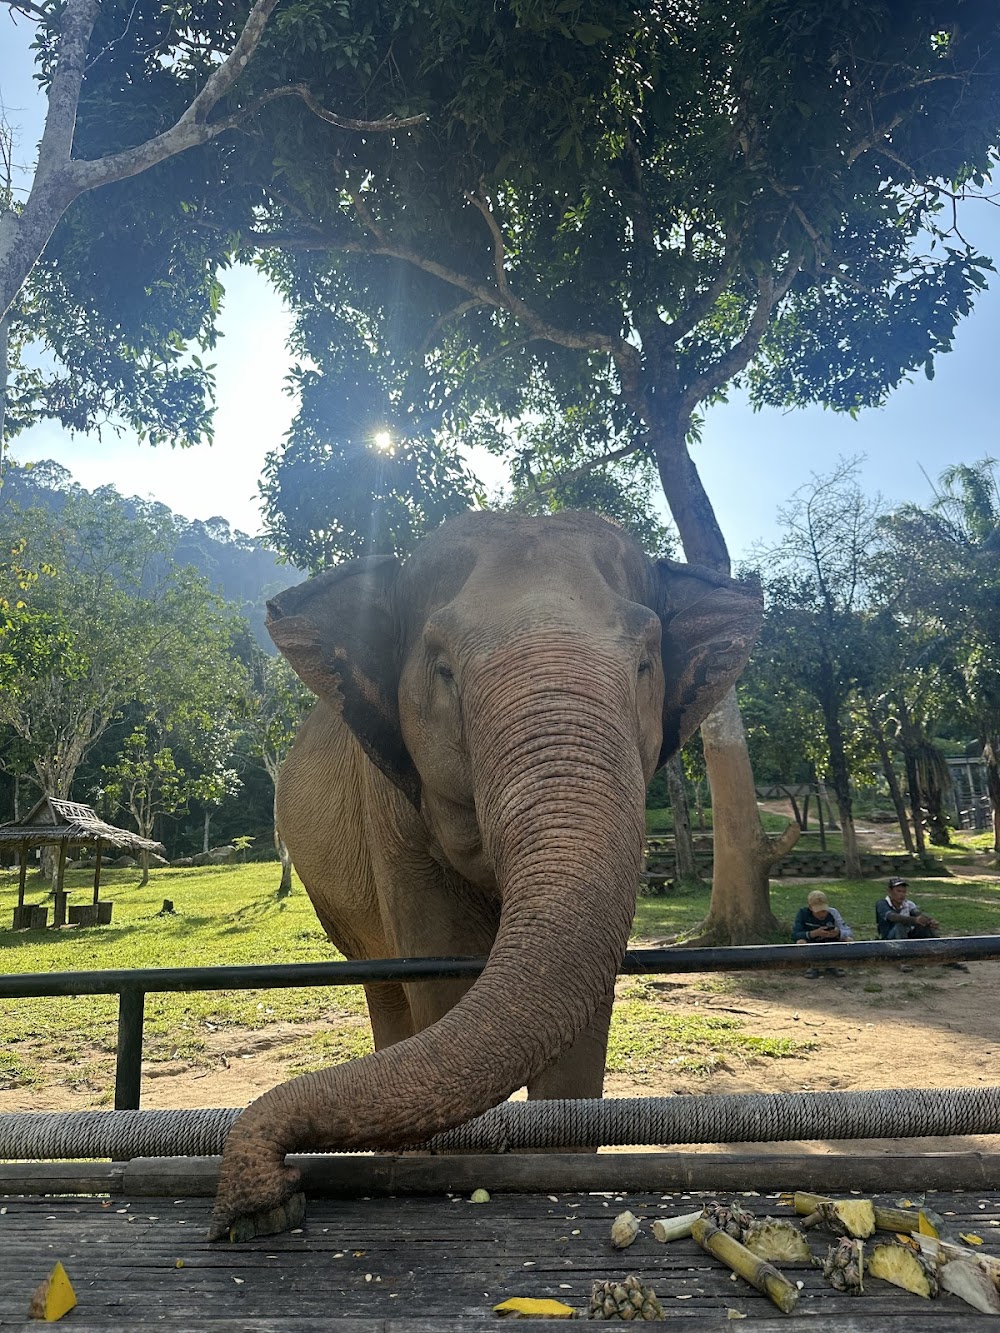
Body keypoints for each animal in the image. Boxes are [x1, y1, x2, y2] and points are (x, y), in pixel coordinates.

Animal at [208, 509, 762, 1237]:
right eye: (443, 668)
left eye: (646, 661)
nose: (266, 1183)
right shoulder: (391, 814)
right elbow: (441, 973)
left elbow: (583, 1018)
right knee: (384, 988)